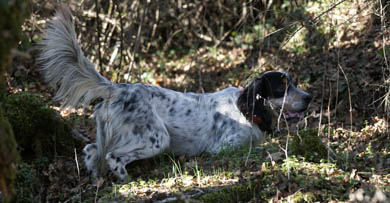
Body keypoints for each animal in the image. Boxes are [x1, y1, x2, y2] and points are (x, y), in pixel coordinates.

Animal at [38, 6, 312, 179]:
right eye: (282, 87)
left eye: (293, 82)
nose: (309, 98)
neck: (245, 110)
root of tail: (117, 88)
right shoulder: (226, 146)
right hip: (157, 138)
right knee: (114, 157)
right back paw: (126, 181)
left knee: (91, 151)